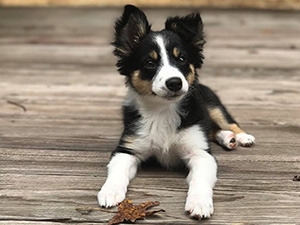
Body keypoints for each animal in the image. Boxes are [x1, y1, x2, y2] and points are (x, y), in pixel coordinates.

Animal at [97, 5, 254, 220]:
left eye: (182, 59)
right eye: (149, 63)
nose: (174, 83)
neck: (163, 110)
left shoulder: (200, 153)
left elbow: (200, 180)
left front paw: (199, 203)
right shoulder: (127, 149)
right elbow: (117, 170)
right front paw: (109, 191)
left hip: (212, 104)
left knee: (228, 122)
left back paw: (241, 137)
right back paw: (227, 138)